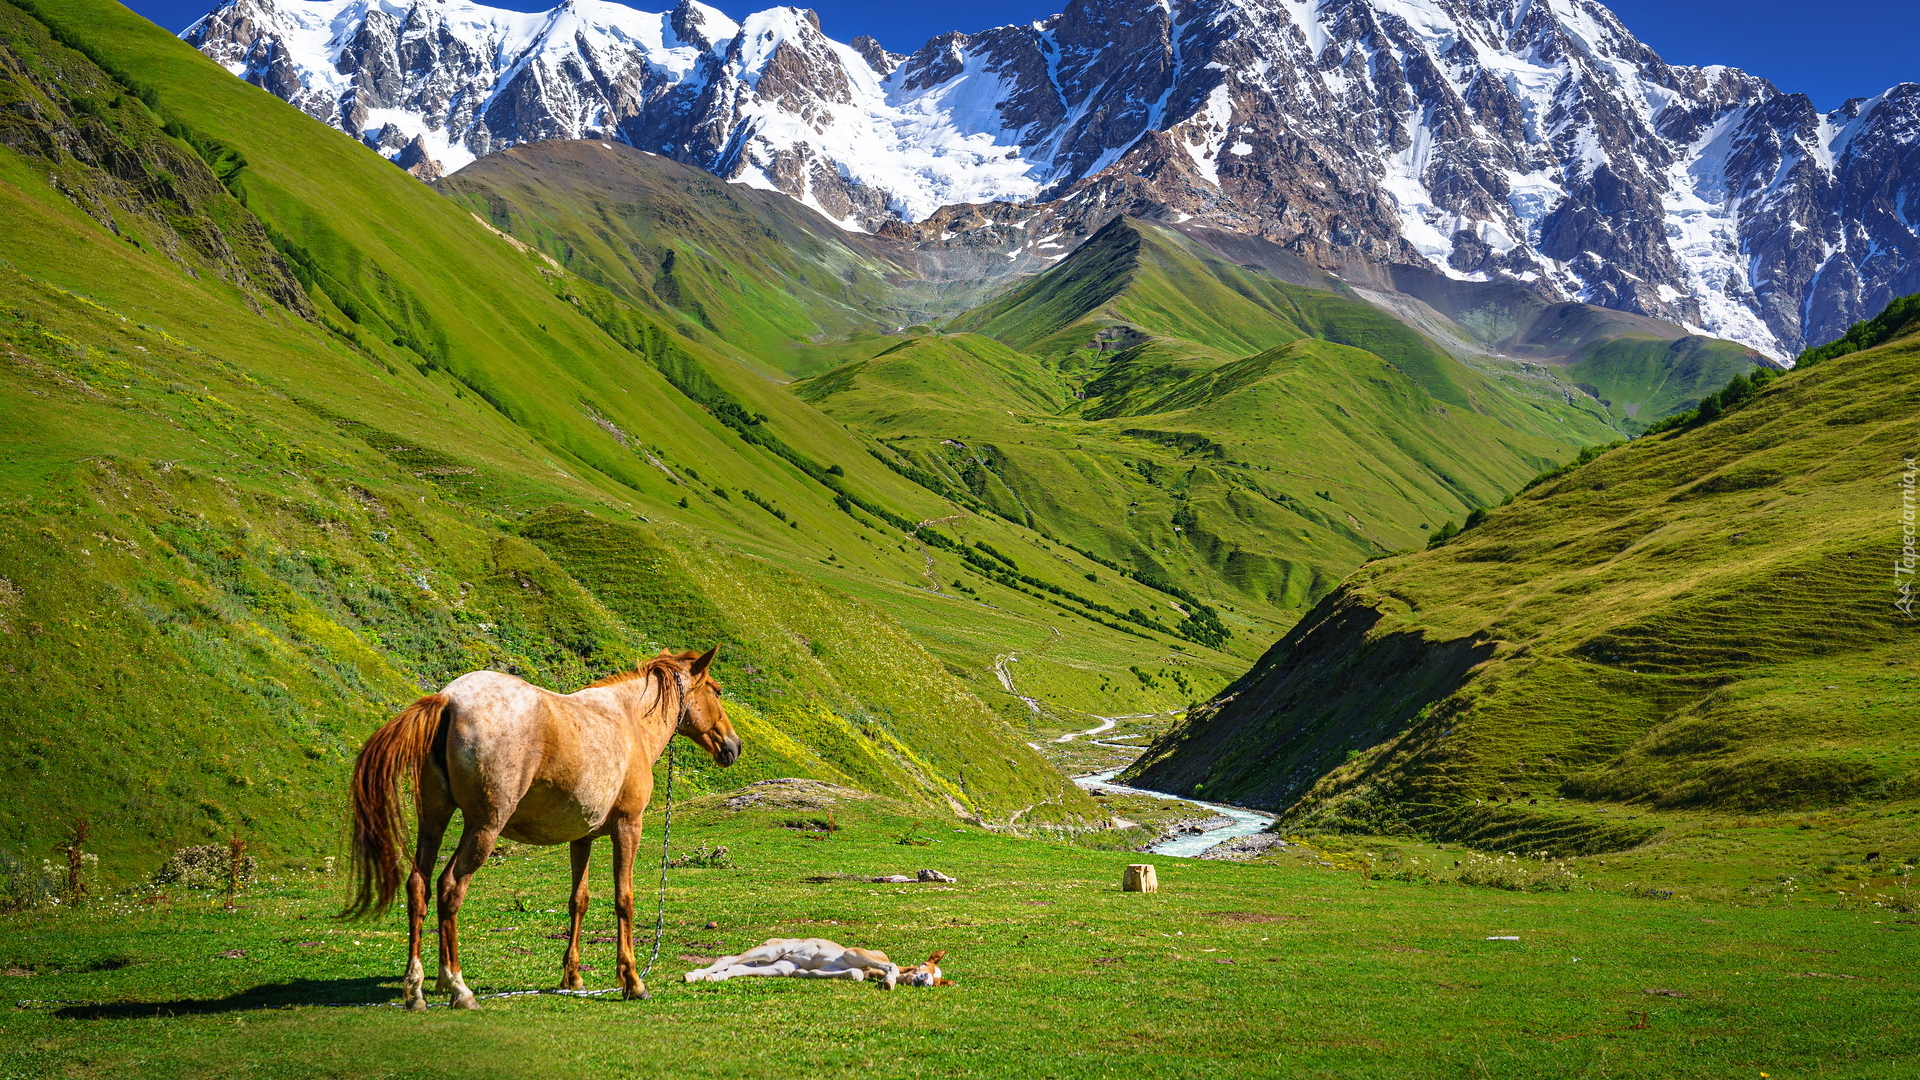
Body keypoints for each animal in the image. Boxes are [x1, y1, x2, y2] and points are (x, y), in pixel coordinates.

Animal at [341, 641, 737, 1006]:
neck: (628, 720)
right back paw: (457, 986)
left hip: (434, 821)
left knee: (419, 886)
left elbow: (579, 900)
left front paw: (572, 977)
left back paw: (417, 988)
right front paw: (632, 981)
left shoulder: (582, 837)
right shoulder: (628, 827)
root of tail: (448, 700)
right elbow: (624, 899)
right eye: (717, 690)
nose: (734, 746)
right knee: (450, 887)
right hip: (484, 827)